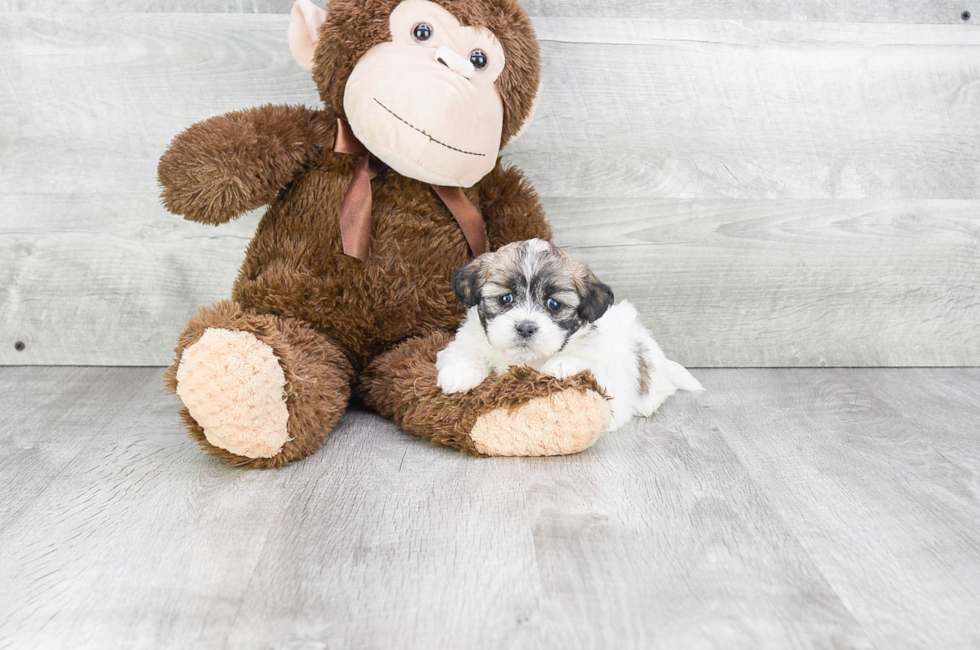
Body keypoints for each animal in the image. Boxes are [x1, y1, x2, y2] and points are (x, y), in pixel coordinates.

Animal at [438, 238, 704, 430]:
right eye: (506, 298)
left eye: (554, 304)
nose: (525, 327)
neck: (526, 359)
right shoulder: (468, 339)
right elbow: (464, 351)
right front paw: (458, 374)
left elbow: (587, 363)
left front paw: (562, 364)